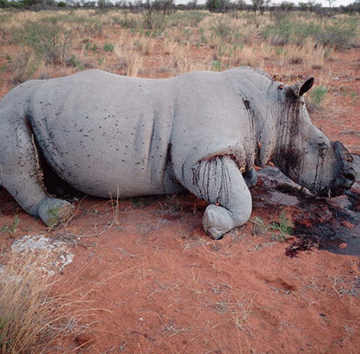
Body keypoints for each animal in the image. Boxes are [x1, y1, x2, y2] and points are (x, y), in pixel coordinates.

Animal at [0, 67, 354, 238]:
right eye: (321, 147)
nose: (349, 180)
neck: (268, 107)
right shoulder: (200, 157)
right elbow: (243, 201)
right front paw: (214, 223)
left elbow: (246, 182)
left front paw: (246, 179)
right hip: (13, 107)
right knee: (17, 161)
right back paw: (59, 213)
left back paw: (63, 192)